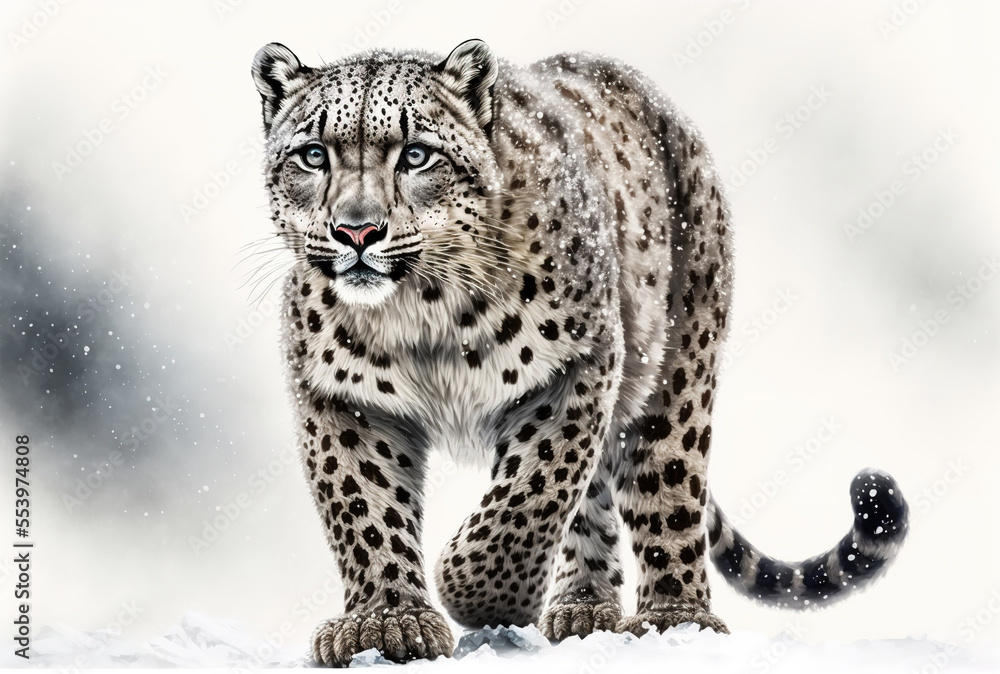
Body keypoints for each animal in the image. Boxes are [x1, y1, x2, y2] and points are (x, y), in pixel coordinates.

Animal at [249, 39, 909, 667]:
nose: (356, 231)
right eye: (313, 155)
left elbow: (534, 489)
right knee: (595, 500)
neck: (420, 310)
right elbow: (365, 511)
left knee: (668, 488)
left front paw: (480, 594)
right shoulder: (342, 397)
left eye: (415, 155)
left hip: (676, 373)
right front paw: (388, 623)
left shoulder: (577, 366)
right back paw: (583, 606)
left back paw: (676, 620)